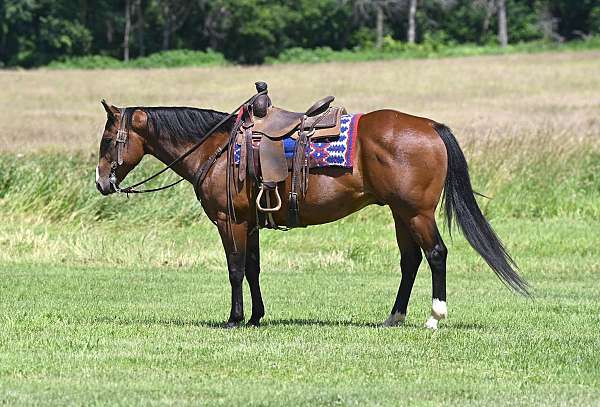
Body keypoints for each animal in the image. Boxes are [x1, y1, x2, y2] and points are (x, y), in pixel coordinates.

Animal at [95, 100, 528, 330]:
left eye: (108, 138)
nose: (101, 182)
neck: (215, 149)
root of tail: (431, 126)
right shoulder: (251, 223)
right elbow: (252, 268)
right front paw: (256, 317)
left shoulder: (229, 221)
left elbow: (234, 268)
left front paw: (235, 318)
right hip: (400, 213)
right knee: (411, 261)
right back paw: (393, 317)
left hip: (416, 212)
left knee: (436, 254)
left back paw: (435, 316)